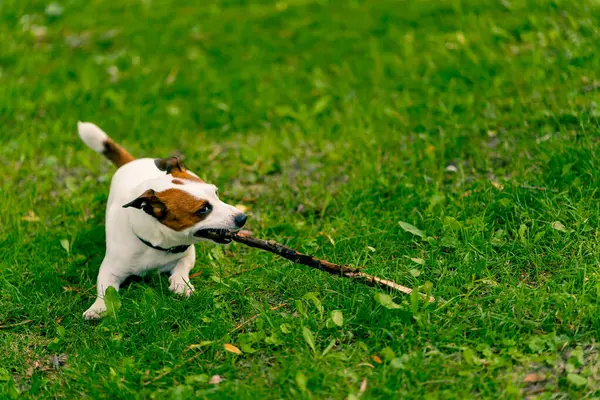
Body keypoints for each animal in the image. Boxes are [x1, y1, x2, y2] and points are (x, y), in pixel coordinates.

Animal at [77, 122, 246, 318]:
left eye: (216, 192)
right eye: (203, 209)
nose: (243, 218)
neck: (155, 243)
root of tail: (132, 162)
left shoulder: (187, 253)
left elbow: (183, 265)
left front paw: (180, 283)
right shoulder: (109, 269)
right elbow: (105, 289)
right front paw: (98, 307)